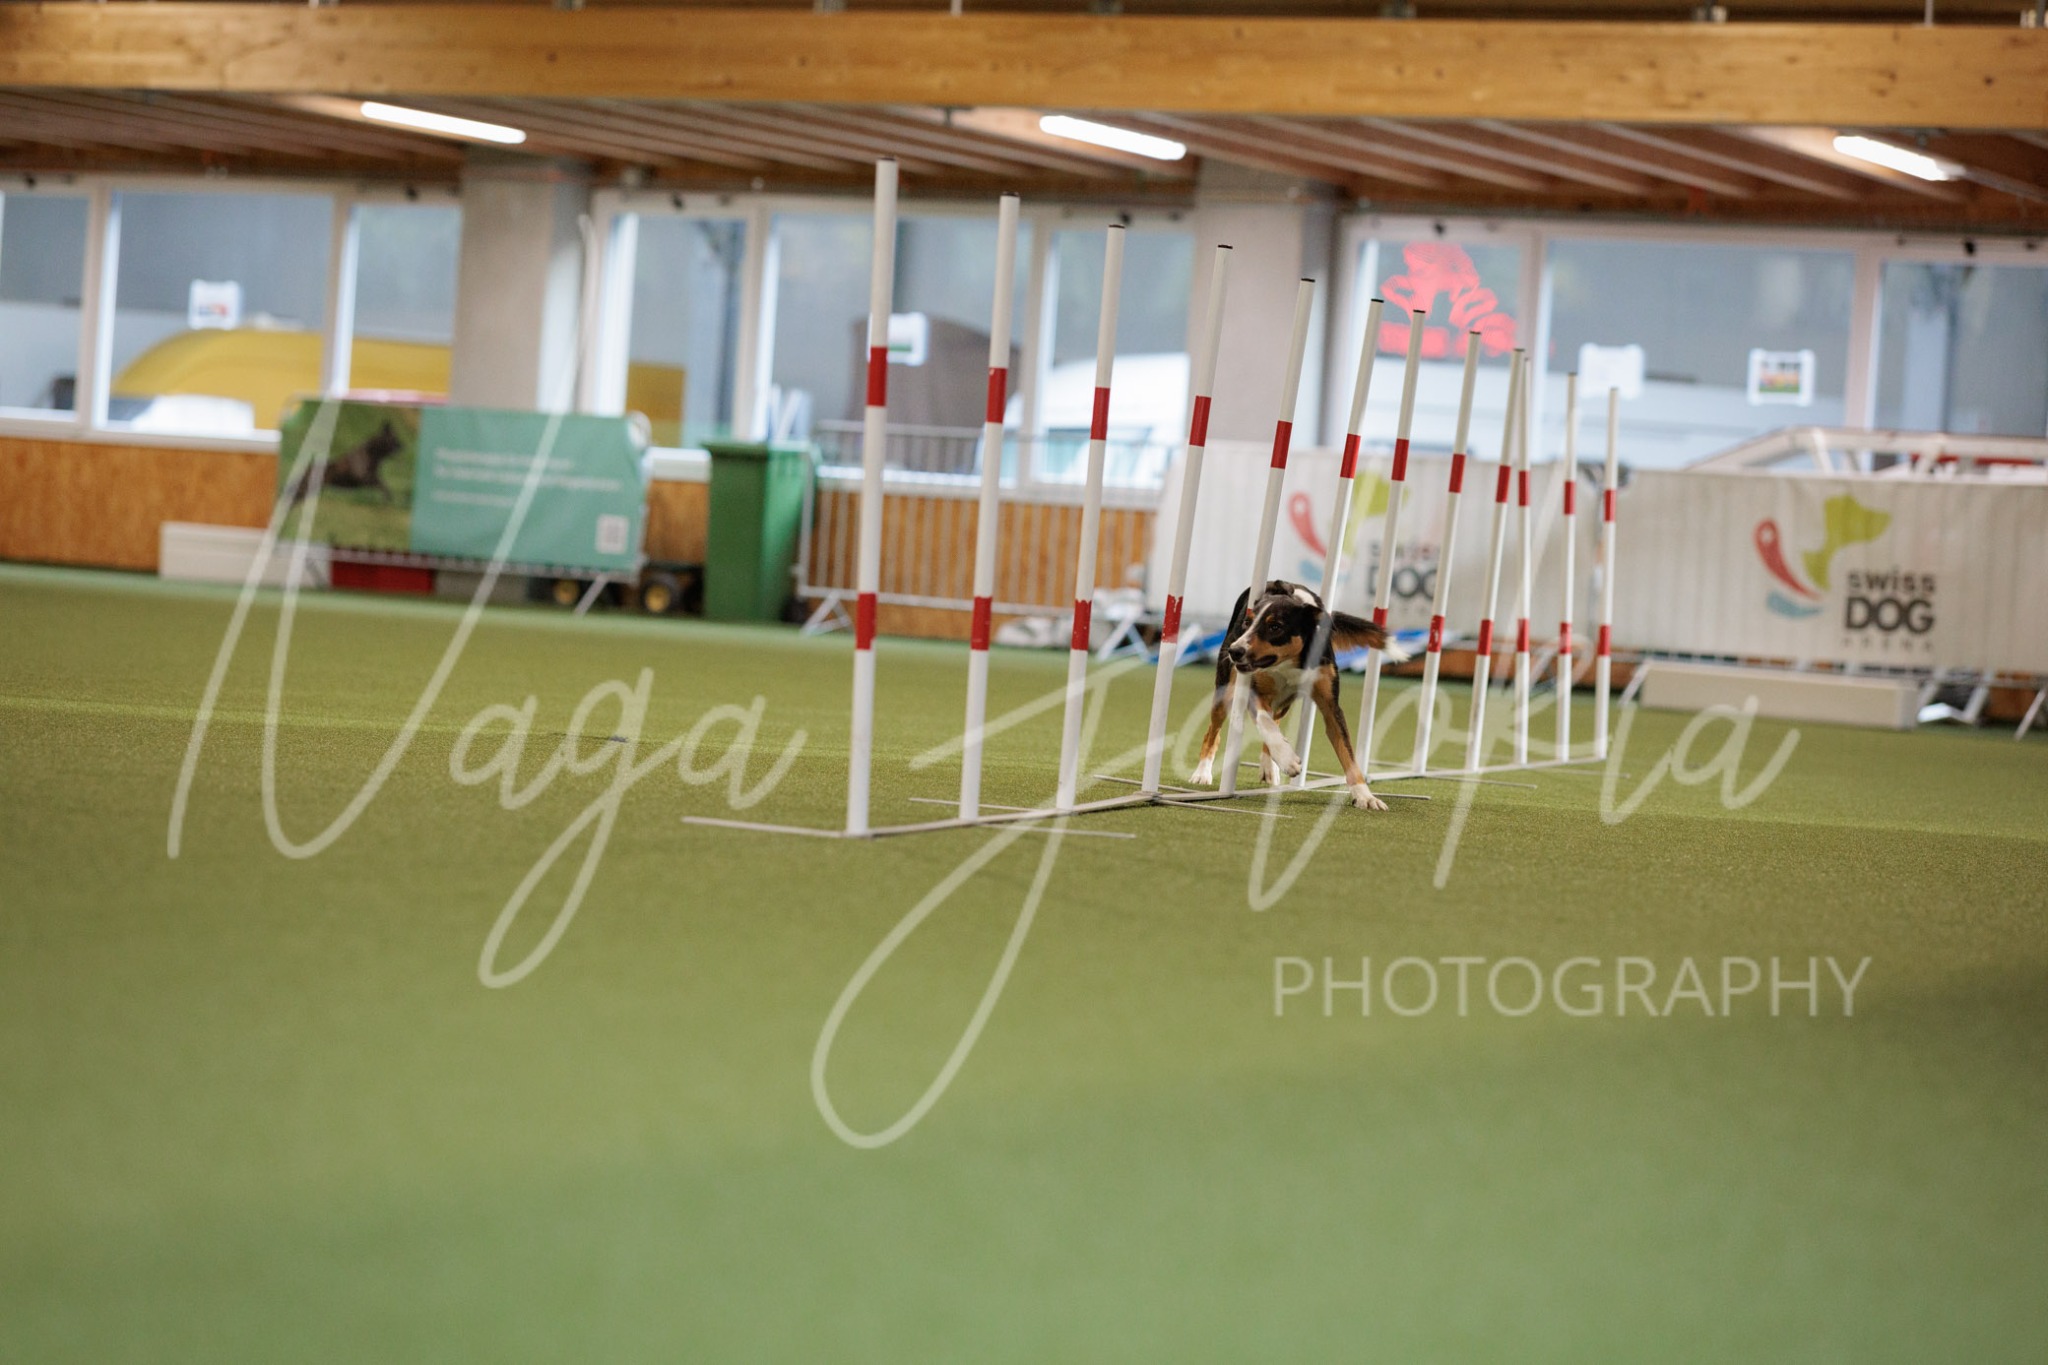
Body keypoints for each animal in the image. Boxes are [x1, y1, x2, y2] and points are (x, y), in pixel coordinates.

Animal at [1188, 579, 1409, 811]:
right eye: (1247, 623)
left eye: (1275, 627)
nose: (1235, 651)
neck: (1291, 662)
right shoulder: (1252, 689)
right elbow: (1265, 724)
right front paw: (1288, 760)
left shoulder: (1331, 705)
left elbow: (1348, 753)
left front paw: (1365, 796)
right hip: (1225, 689)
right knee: (1214, 731)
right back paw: (1202, 773)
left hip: (1284, 702)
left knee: (1274, 719)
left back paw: (1269, 767)